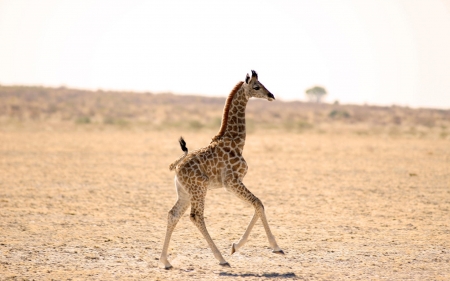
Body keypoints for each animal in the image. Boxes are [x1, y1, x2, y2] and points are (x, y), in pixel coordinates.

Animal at [160, 69, 284, 266]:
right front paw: (274, 247)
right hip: (199, 188)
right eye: (257, 86)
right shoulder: (232, 181)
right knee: (196, 217)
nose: (271, 95)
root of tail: (177, 168)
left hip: (185, 192)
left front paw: (236, 246)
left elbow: (257, 204)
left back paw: (165, 261)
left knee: (173, 214)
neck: (236, 142)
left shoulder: (232, 184)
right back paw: (221, 258)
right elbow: (258, 203)